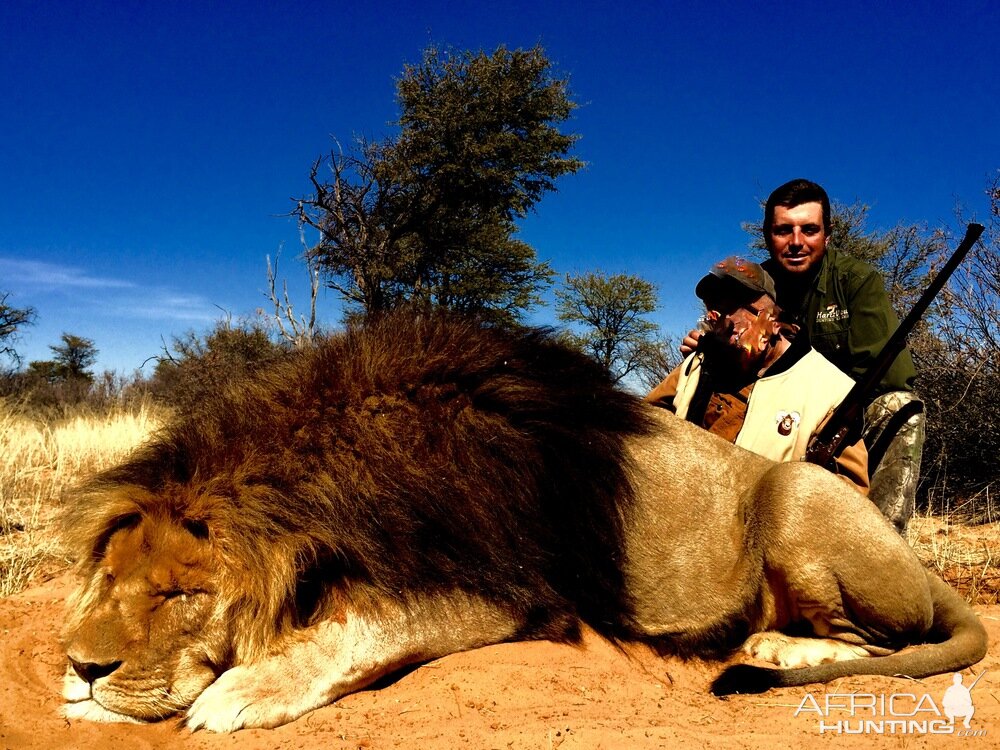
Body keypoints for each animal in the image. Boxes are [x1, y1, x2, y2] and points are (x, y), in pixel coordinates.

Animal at [58, 312, 988, 736]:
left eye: (183, 595)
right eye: (110, 580)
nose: (84, 670)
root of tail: (922, 568)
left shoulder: (510, 594)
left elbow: (360, 631)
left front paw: (242, 691)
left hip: (796, 489)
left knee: (876, 644)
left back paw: (776, 649)